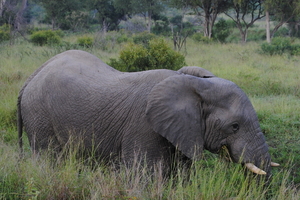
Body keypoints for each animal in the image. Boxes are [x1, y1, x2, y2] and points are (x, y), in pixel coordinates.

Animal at [17, 50, 278, 177]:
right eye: (234, 126)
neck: (194, 84)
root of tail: (33, 75)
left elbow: (181, 175)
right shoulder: (143, 126)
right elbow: (146, 174)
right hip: (39, 114)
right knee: (49, 158)